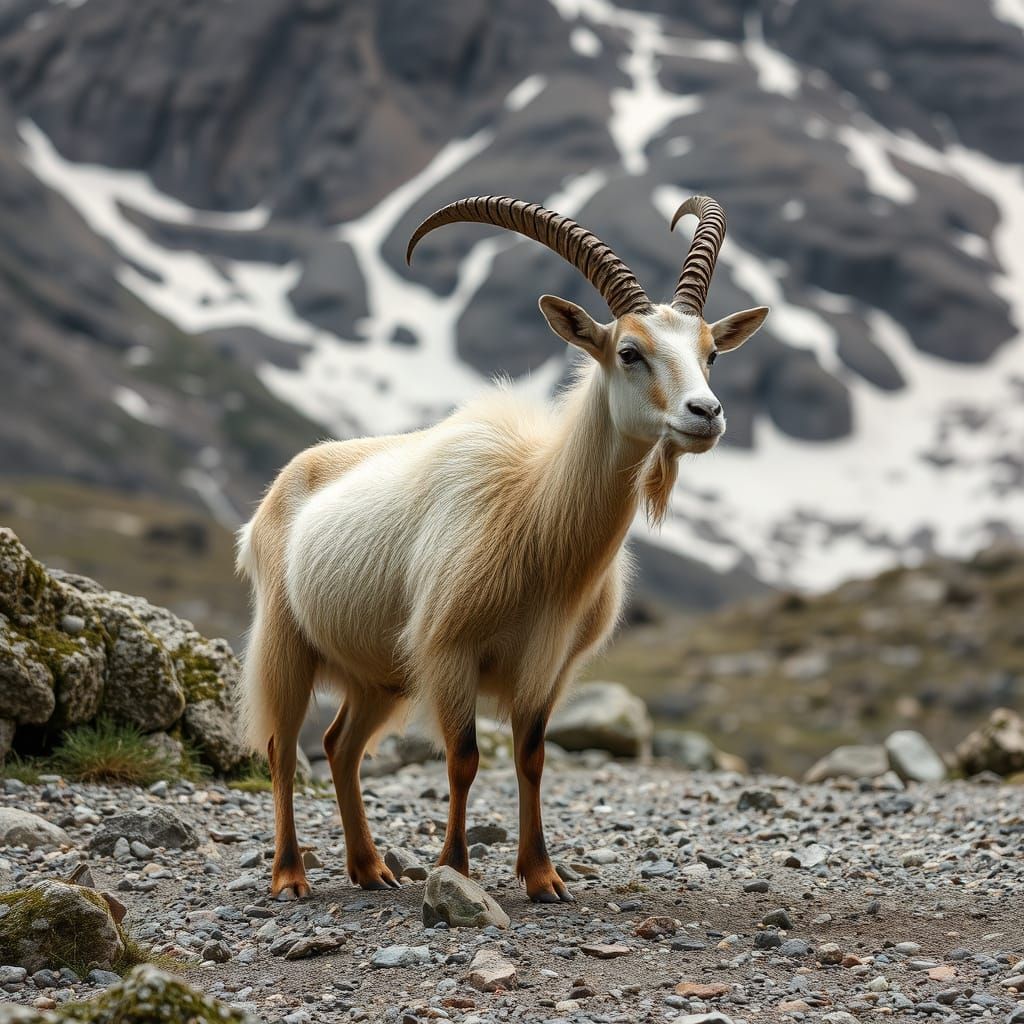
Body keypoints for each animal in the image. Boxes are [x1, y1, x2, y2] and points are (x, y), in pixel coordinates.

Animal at [236, 194, 768, 901]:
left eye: (711, 353)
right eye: (630, 351)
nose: (705, 414)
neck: (537, 515)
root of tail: (278, 492)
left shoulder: (548, 666)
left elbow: (531, 756)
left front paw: (543, 876)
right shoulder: (449, 651)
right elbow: (463, 759)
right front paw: (456, 869)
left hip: (379, 675)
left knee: (339, 745)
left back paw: (371, 869)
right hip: (286, 642)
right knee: (282, 745)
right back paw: (291, 875)